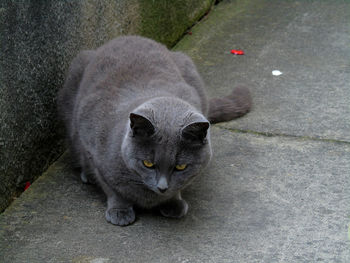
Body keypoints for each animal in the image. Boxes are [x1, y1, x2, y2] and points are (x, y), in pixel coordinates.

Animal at [56, 36, 250, 227]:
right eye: (147, 164)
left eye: (181, 167)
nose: (162, 187)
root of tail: (129, 37)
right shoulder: (93, 149)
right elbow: (111, 189)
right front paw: (120, 211)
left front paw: (173, 203)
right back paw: (86, 175)